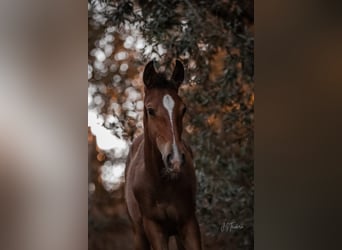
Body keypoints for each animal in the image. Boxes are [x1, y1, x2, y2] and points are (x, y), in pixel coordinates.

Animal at [124, 60, 202, 250]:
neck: (162, 183)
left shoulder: (189, 222)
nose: (175, 159)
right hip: (139, 234)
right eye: (150, 110)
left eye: (183, 109)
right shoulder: (155, 229)